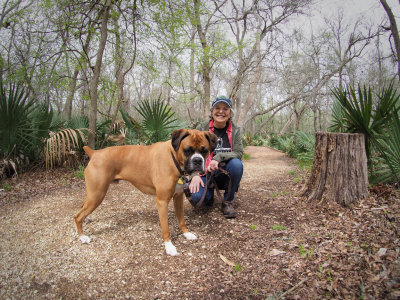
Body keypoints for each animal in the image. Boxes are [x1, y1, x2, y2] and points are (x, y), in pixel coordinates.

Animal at [73, 128, 217, 255]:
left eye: (205, 150)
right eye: (187, 150)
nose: (197, 160)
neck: (174, 159)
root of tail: (94, 153)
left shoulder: (178, 197)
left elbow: (181, 219)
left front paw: (186, 233)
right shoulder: (162, 201)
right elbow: (166, 228)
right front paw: (169, 246)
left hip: (93, 194)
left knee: (82, 208)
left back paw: (87, 220)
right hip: (97, 194)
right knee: (77, 216)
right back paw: (82, 237)